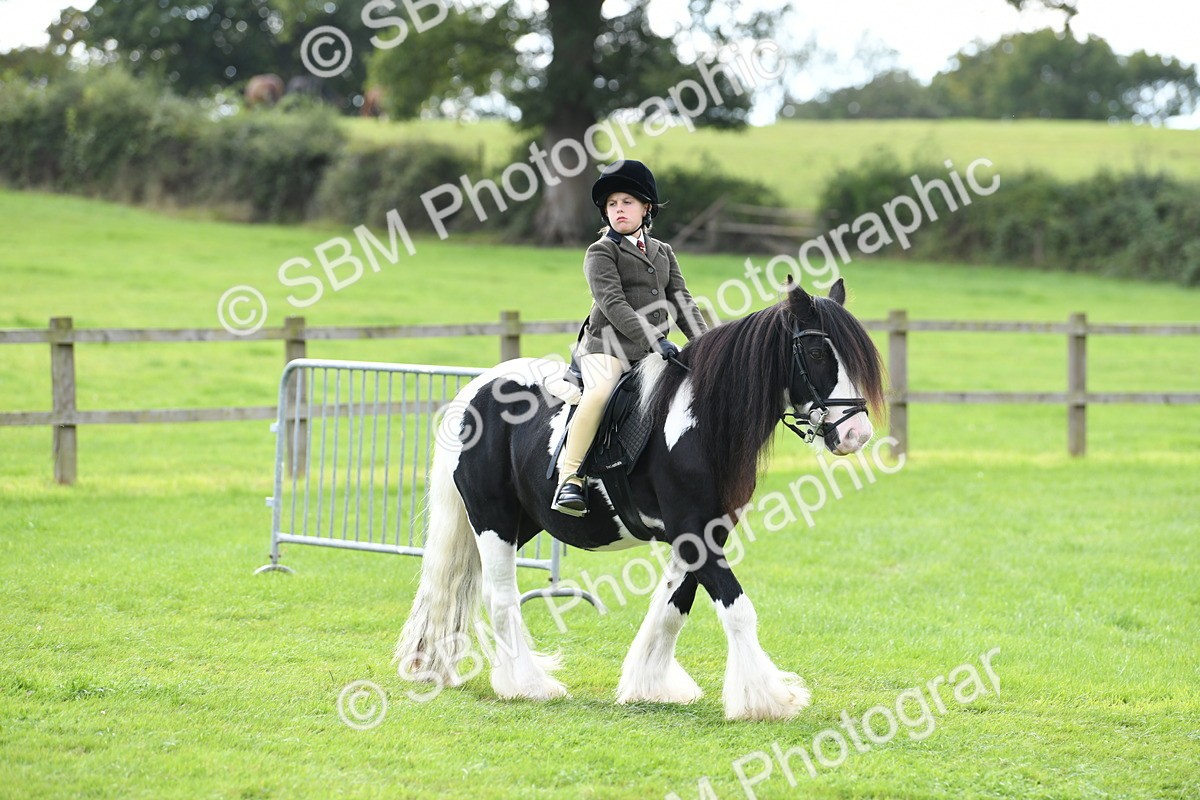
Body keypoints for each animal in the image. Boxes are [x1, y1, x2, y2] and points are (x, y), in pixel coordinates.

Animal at [396, 278, 886, 720]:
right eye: (819, 352)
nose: (856, 434)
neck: (701, 419)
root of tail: (473, 391)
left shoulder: (706, 533)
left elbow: (671, 608)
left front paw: (650, 686)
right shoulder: (694, 533)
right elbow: (738, 609)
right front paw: (768, 699)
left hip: (521, 522)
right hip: (492, 519)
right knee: (501, 598)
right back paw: (528, 685)